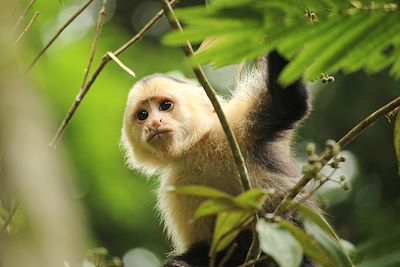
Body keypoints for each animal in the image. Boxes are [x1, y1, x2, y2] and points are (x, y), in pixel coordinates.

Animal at [120, 51, 314, 266]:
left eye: (165, 105)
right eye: (143, 115)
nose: (153, 124)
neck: (195, 150)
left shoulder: (232, 128)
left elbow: (288, 106)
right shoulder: (178, 185)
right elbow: (206, 246)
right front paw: (179, 262)